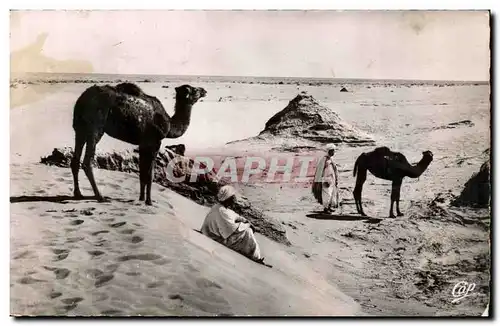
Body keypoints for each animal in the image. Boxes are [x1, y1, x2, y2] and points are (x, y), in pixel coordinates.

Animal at [71, 81, 206, 205]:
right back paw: (100, 196)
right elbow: (150, 174)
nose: (204, 90)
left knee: (75, 160)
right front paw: (149, 201)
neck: (170, 124)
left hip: (80, 128)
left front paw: (141, 198)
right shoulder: (155, 142)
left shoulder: (143, 144)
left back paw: (78, 194)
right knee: (87, 162)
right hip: (95, 127)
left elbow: (142, 172)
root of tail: (82, 99)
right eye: (194, 90)